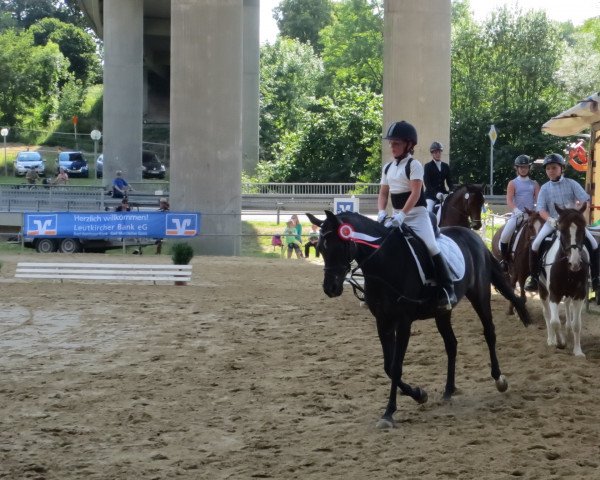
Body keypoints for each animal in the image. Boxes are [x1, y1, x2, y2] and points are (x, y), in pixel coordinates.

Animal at [310, 210, 528, 428]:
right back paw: (448, 390)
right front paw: (419, 394)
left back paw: (499, 379)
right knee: (451, 344)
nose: (330, 288)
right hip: (442, 312)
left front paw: (389, 413)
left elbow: (396, 367)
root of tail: (475, 238)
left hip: (479, 295)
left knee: (489, 332)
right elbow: (388, 367)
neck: (384, 262)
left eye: (339, 246)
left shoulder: (403, 321)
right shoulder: (383, 321)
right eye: (320, 248)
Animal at [536, 204, 588, 358]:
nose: (575, 263)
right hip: (543, 290)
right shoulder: (554, 293)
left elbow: (577, 324)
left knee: (568, 308)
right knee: (547, 314)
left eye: (583, 229)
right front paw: (560, 343)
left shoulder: (579, 294)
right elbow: (554, 321)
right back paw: (551, 339)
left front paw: (578, 351)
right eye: (563, 230)